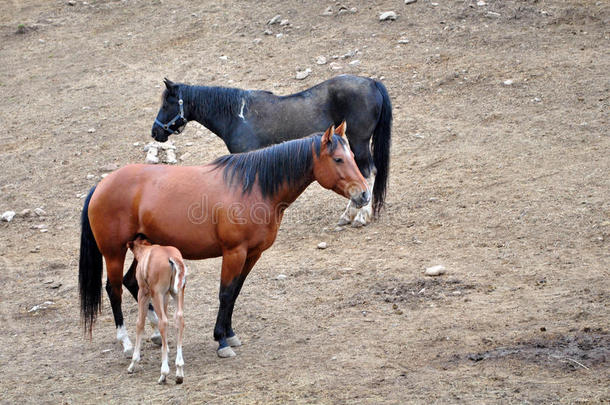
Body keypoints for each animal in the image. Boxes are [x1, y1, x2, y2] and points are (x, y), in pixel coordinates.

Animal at [78, 122, 368, 356]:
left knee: (131, 282)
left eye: (353, 156)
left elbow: (235, 292)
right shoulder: (234, 252)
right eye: (338, 159)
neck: (254, 188)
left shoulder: (252, 254)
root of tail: (101, 186)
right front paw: (221, 341)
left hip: (143, 247)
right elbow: (226, 293)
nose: (364, 194)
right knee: (114, 289)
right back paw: (126, 342)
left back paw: (156, 330)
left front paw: (230, 333)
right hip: (114, 252)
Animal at [124, 238, 186, 384]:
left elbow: (140, 323)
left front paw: (133, 364)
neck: (145, 251)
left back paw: (164, 373)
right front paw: (166, 348)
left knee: (163, 322)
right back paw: (179, 371)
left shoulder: (143, 292)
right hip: (177, 292)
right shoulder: (166, 295)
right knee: (179, 319)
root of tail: (171, 257)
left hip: (156, 294)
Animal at [150, 74, 392, 223]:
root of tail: (371, 82)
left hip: (359, 142)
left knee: (368, 173)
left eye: (167, 104)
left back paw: (359, 216)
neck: (237, 116)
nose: (155, 132)